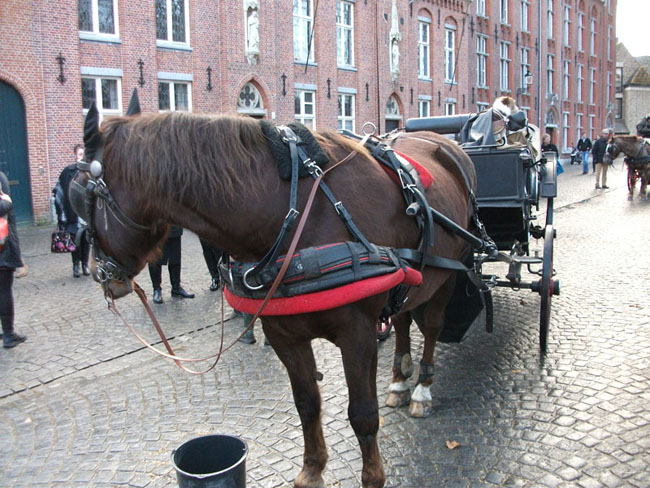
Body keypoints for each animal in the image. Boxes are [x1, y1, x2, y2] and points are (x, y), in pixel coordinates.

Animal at [71, 98, 477, 488]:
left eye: (77, 196)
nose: (97, 271)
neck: (296, 215)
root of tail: (444, 142)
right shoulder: (283, 334)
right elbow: (307, 404)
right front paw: (312, 470)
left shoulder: (357, 333)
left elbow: (362, 415)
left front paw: (373, 477)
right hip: (412, 280)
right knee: (405, 319)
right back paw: (399, 381)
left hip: (450, 272)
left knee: (432, 327)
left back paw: (421, 388)